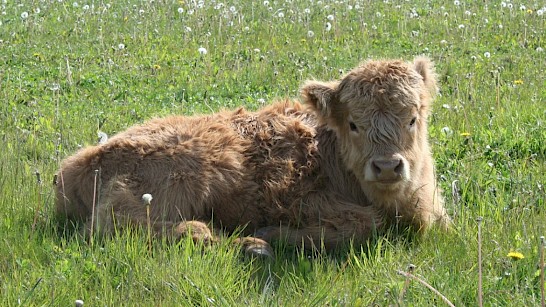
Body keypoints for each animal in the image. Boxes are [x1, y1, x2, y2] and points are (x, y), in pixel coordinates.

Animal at [55, 56, 448, 256]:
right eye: (353, 123)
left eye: (413, 117)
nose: (387, 166)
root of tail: (79, 162)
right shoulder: (304, 200)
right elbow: (366, 224)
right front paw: (269, 233)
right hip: (189, 174)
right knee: (114, 224)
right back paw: (233, 240)